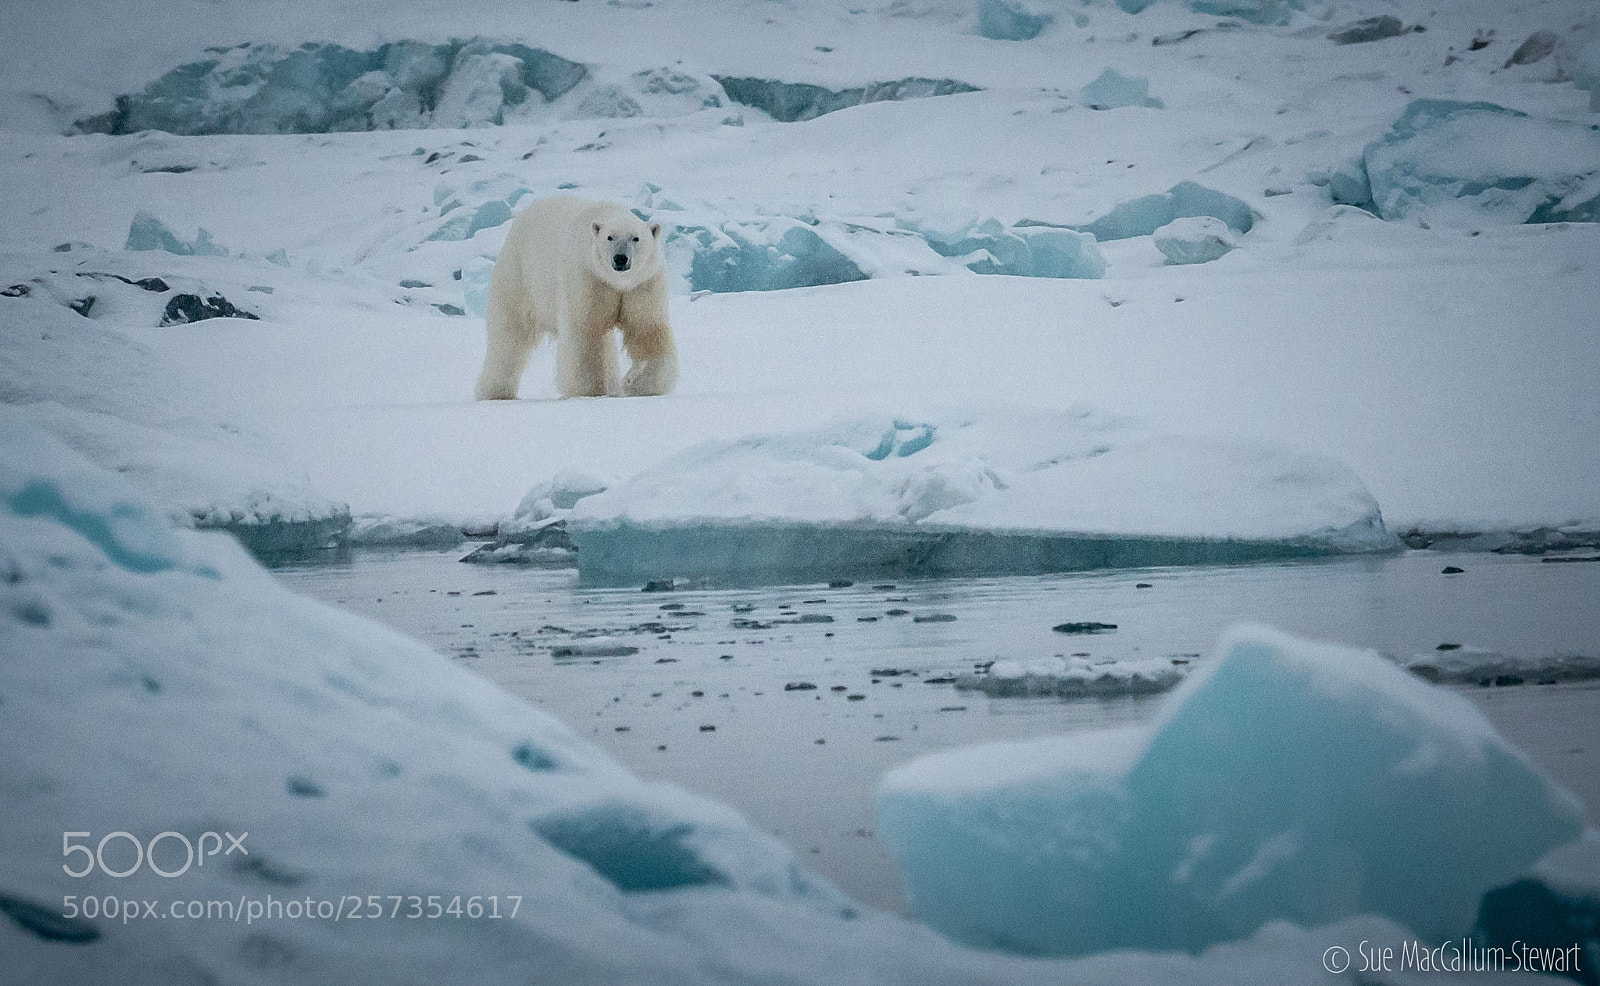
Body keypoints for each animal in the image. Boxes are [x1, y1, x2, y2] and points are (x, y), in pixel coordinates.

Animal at [475, 195, 678, 400]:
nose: (620, 258)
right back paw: (496, 392)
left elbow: (646, 330)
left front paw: (636, 384)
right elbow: (585, 332)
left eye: (635, 238)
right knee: (509, 336)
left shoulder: (642, 284)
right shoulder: (588, 278)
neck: (617, 282)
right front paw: (588, 391)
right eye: (610, 237)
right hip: (518, 276)